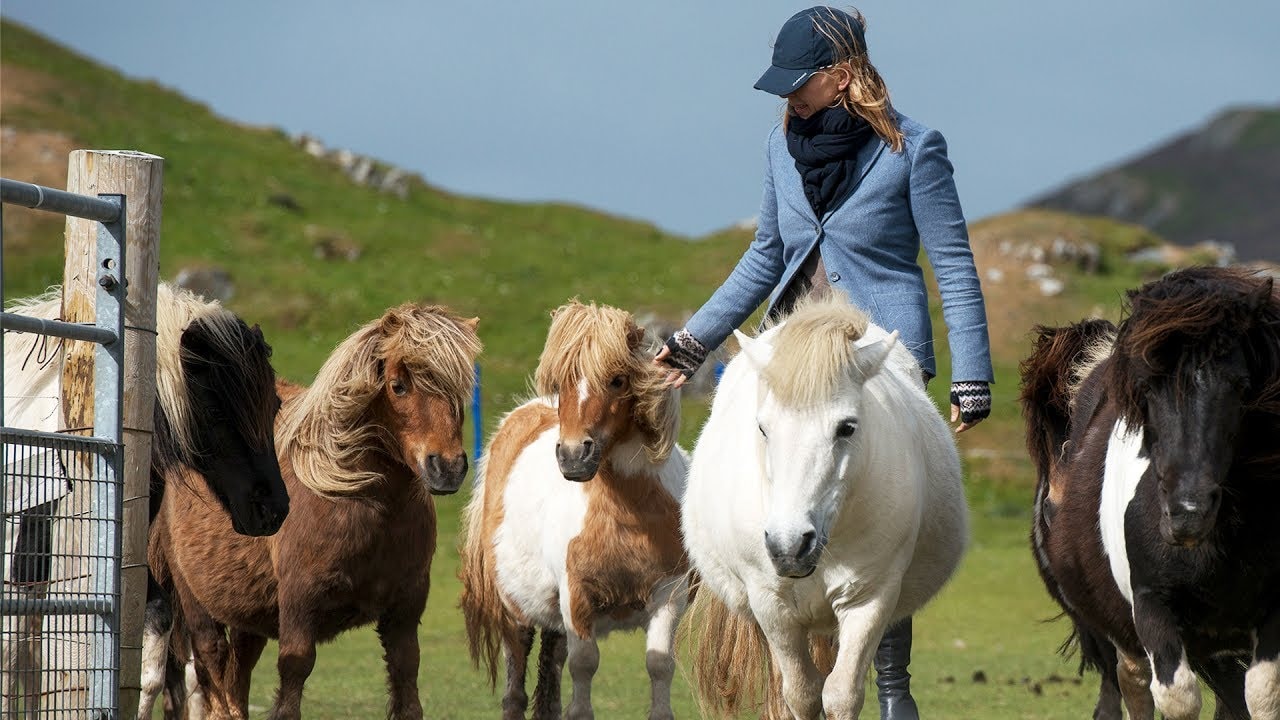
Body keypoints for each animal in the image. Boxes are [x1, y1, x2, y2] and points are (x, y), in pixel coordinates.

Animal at [145, 303, 481, 717]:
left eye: (463, 389)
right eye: (398, 386)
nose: (446, 467)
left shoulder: (403, 615)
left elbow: (407, 691)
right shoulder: (299, 612)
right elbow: (291, 688)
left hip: (248, 621)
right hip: (197, 608)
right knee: (213, 670)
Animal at [460, 299, 691, 717]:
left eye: (618, 380)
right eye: (562, 382)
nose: (571, 456)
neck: (627, 516)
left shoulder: (670, 595)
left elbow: (659, 664)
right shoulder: (577, 596)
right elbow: (584, 666)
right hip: (516, 612)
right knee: (515, 685)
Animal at [686, 294, 962, 712]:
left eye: (847, 427)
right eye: (763, 427)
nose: (789, 546)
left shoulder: (870, 599)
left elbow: (840, 694)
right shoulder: (772, 605)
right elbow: (800, 694)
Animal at [1018, 265, 1280, 717]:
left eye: (1241, 385)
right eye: (1147, 388)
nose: (1188, 513)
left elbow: (1263, 694)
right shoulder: (1153, 608)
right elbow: (1177, 698)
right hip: (1117, 633)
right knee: (1131, 686)